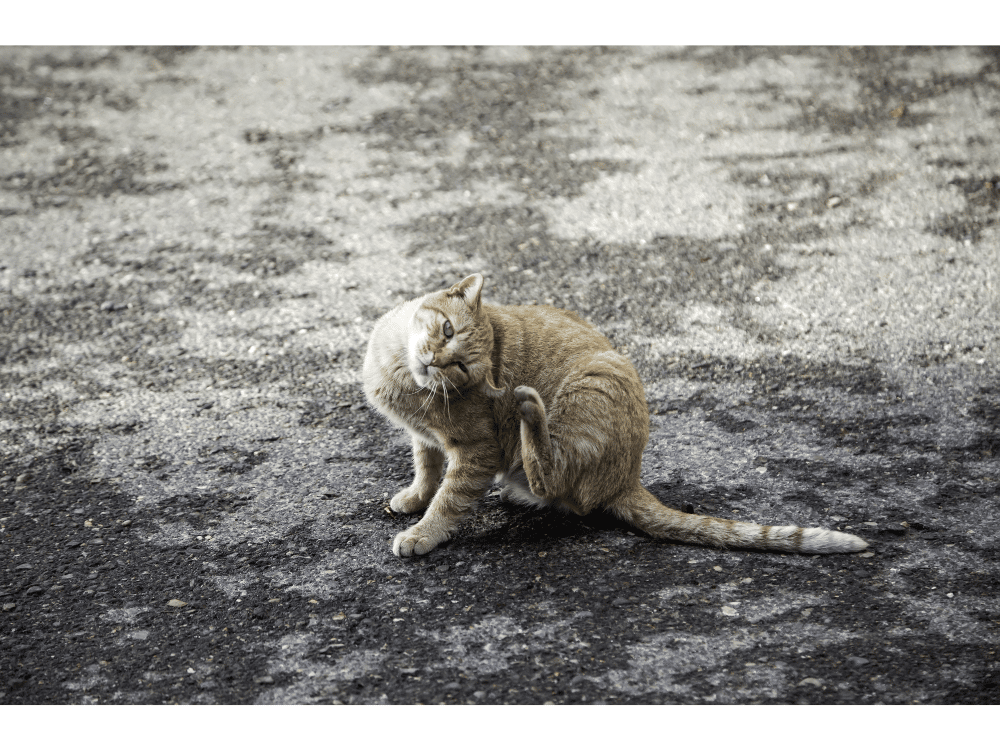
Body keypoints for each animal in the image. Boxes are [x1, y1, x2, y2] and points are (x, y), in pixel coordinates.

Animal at [362, 274, 868, 560]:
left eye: (463, 367)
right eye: (446, 330)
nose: (435, 362)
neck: (400, 373)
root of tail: (628, 477)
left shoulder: (476, 453)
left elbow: (448, 500)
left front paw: (423, 532)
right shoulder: (425, 438)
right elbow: (427, 468)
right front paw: (415, 497)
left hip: (591, 383)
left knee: (552, 473)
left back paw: (528, 412)